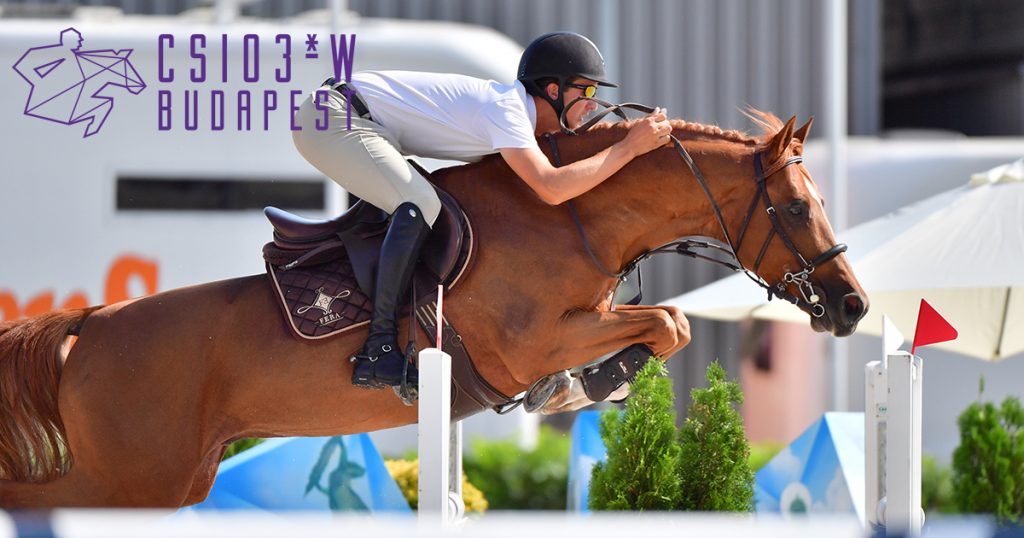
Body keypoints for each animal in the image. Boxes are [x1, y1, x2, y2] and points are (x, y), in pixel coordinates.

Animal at [0, 110, 864, 508]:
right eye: (795, 207)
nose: (851, 306)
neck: (573, 217)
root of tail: (89, 326)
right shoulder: (529, 342)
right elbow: (666, 324)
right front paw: (593, 382)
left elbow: (670, 325)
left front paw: (582, 386)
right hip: (133, 479)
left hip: (167, 478)